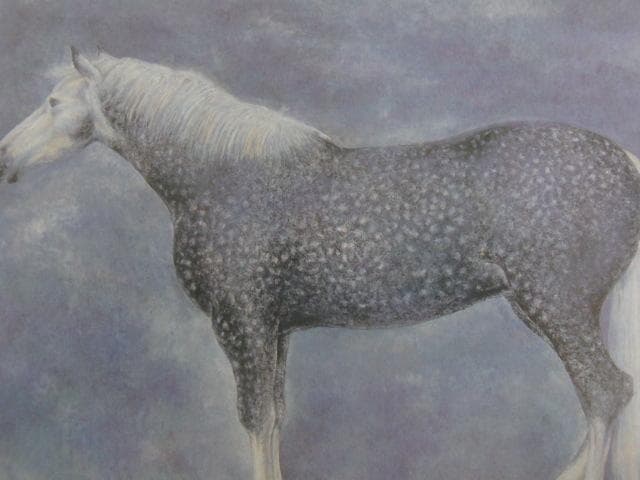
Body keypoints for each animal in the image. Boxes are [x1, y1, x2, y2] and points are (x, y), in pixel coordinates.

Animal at [0, 47, 639, 480]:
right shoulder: (274, 331)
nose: (5, 156)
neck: (222, 175)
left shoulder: (242, 326)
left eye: (53, 102)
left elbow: (255, 419)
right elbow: (276, 418)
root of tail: (625, 161)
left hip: (557, 308)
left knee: (606, 393)